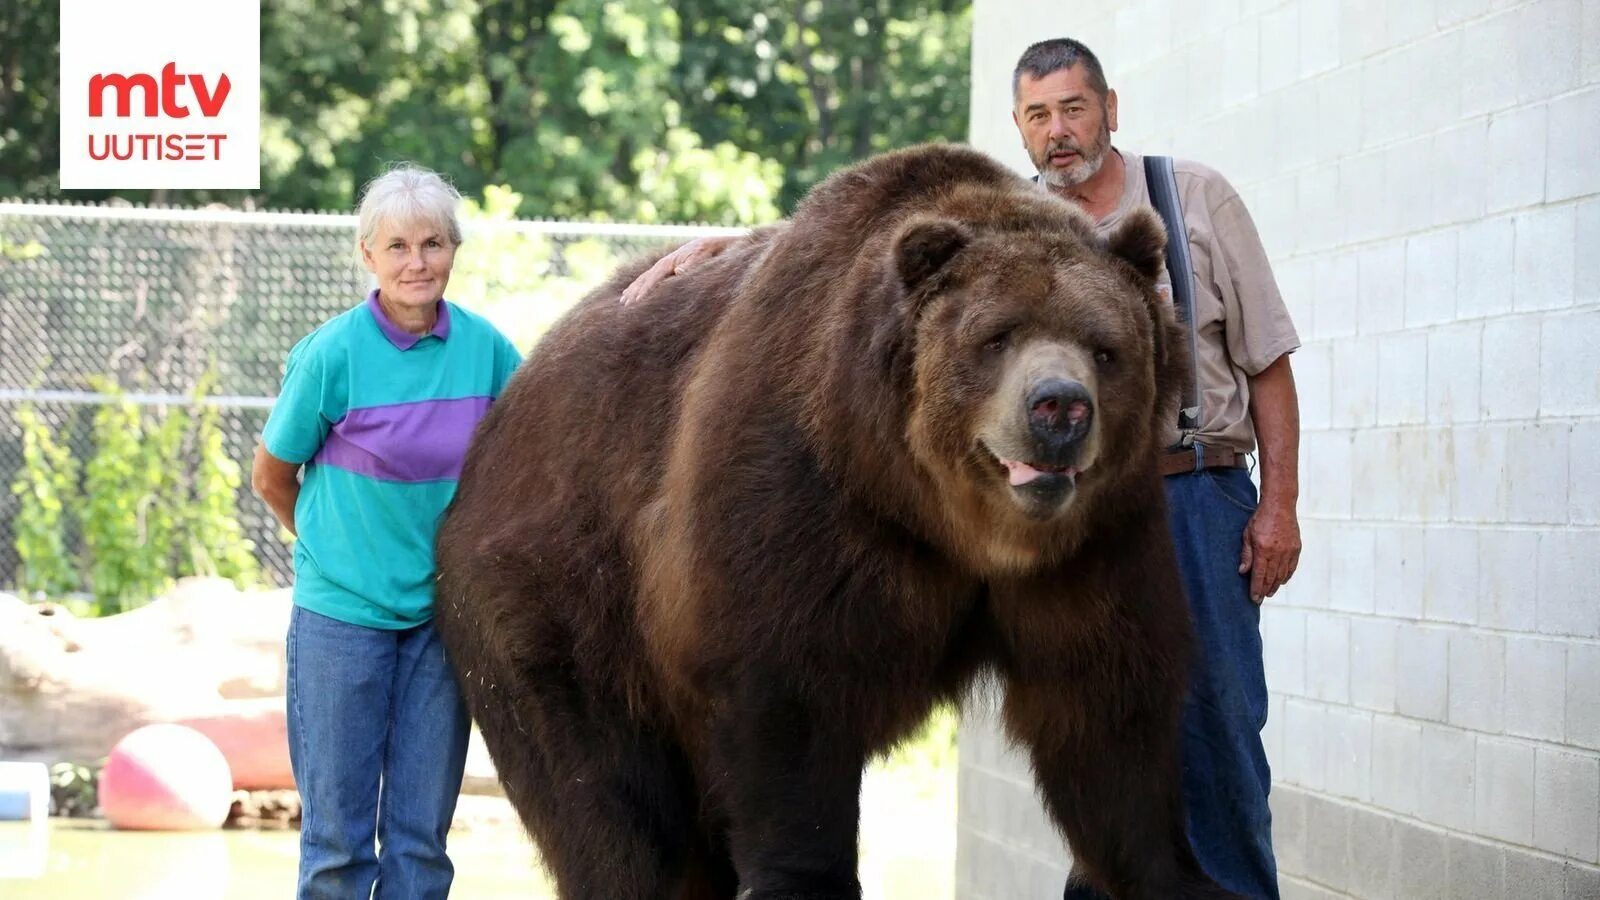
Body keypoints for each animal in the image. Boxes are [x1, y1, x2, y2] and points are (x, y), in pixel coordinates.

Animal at [435, 143, 1235, 890]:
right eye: (996, 336)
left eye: (1106, 346)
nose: (1059, 407)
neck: (946, 519)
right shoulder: (802, 506)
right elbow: (792, 704)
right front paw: (801, 874)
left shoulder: (1095, 547)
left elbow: (1108, 716)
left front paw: (1174, 869)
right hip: (565, 605)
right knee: (614, 804)